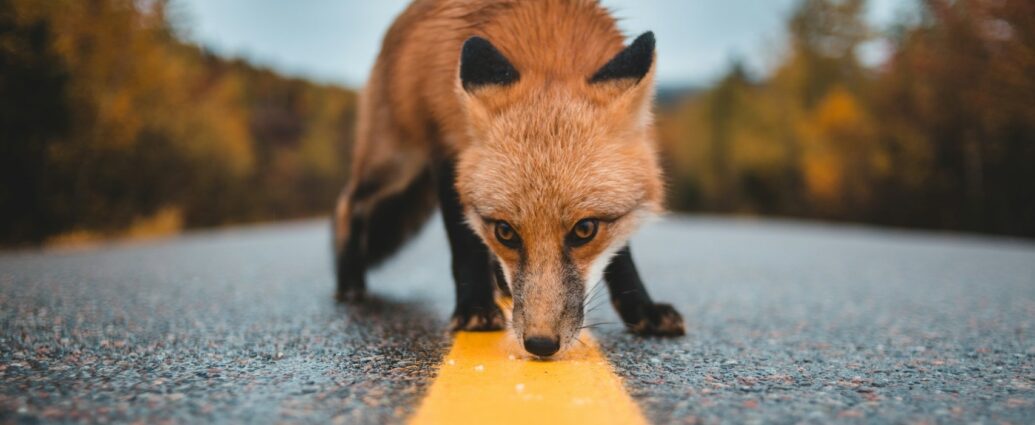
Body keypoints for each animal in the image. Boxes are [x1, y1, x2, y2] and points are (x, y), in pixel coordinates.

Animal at [333, 0, 684, 357]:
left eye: (585, 230)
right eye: (505, 232)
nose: (541, 344)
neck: (548, 43)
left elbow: (621, 255)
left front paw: (641, 308)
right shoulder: (448, 151)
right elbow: (465, 243)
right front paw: (474, 308)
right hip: (395, 163)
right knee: (349, 203)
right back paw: (349, 281)